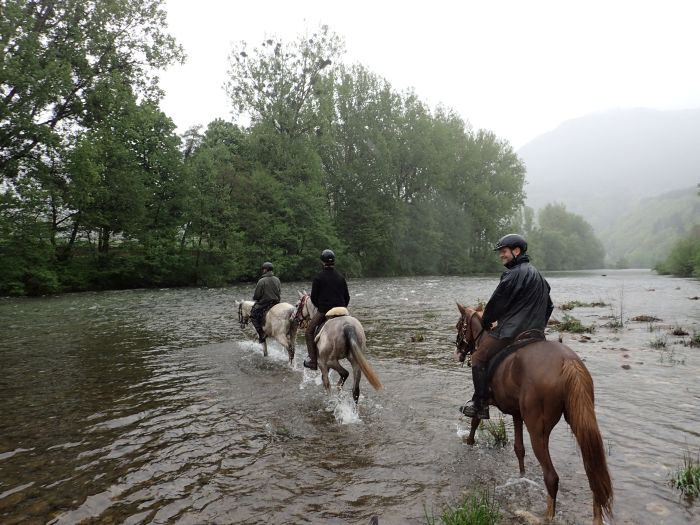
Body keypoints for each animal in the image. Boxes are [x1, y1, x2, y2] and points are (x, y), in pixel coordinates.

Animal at [454, 302, 612, 524]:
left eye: (459, 325)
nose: (459, 351)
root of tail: (567, 362)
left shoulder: (485, 398)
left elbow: (475, 419)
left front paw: (469, 443)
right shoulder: (517, 414)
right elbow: (519, 449)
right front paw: (522, 476)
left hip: (538, 430)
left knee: (551, 477)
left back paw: (548, 516)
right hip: (578, 421)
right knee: (593, 473)